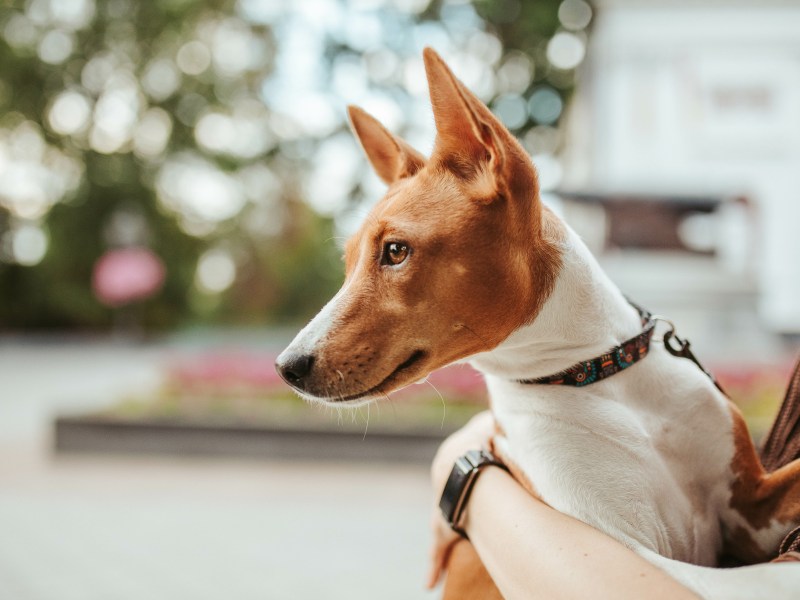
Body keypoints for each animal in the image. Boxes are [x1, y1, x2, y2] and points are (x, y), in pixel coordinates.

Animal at [276, 49, 800, 596]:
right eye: (348, 263)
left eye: (395, 251)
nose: (286, 367)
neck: (599, 374)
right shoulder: (623, 547)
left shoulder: (751, 504)